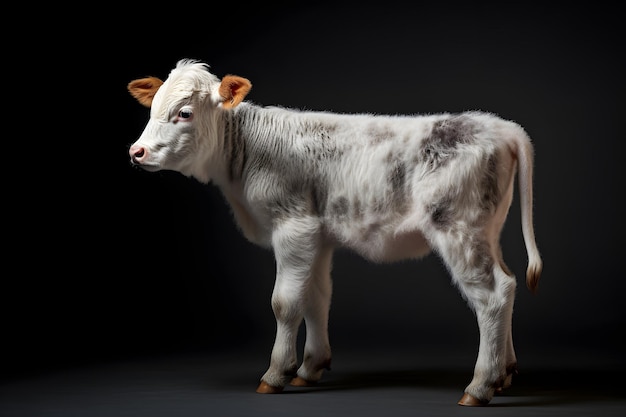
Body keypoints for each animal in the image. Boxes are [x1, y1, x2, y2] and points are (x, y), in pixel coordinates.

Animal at [128, 58, 540, 404]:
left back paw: (480, 385)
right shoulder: (319, 236)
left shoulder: (293, 227)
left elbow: (284, 302)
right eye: (152, 109)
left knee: (491, 295)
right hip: (487, 231)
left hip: (458, 228)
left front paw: (275, 374)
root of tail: (501, 126)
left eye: (184, 112)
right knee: (509, 283)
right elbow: (316, 298)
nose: (137, 152)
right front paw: (310, 367)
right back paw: (504, 373)